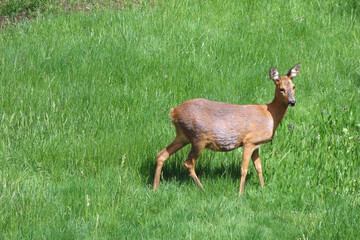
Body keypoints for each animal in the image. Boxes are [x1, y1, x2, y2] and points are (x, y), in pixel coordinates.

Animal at [153, 63, 300, 195]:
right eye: (281, 88)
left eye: (293, 86)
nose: (292, 102)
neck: (270, 115)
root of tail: (174, 112)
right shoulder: (249, 141)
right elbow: (244, 169)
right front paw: (240, 194)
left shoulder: (256, 144)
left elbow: (259, 167)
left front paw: (263, 189)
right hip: (199, 137)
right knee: (188, 163)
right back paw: (203, 189)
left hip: (182, 135)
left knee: (162, 154)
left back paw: (155, 187)